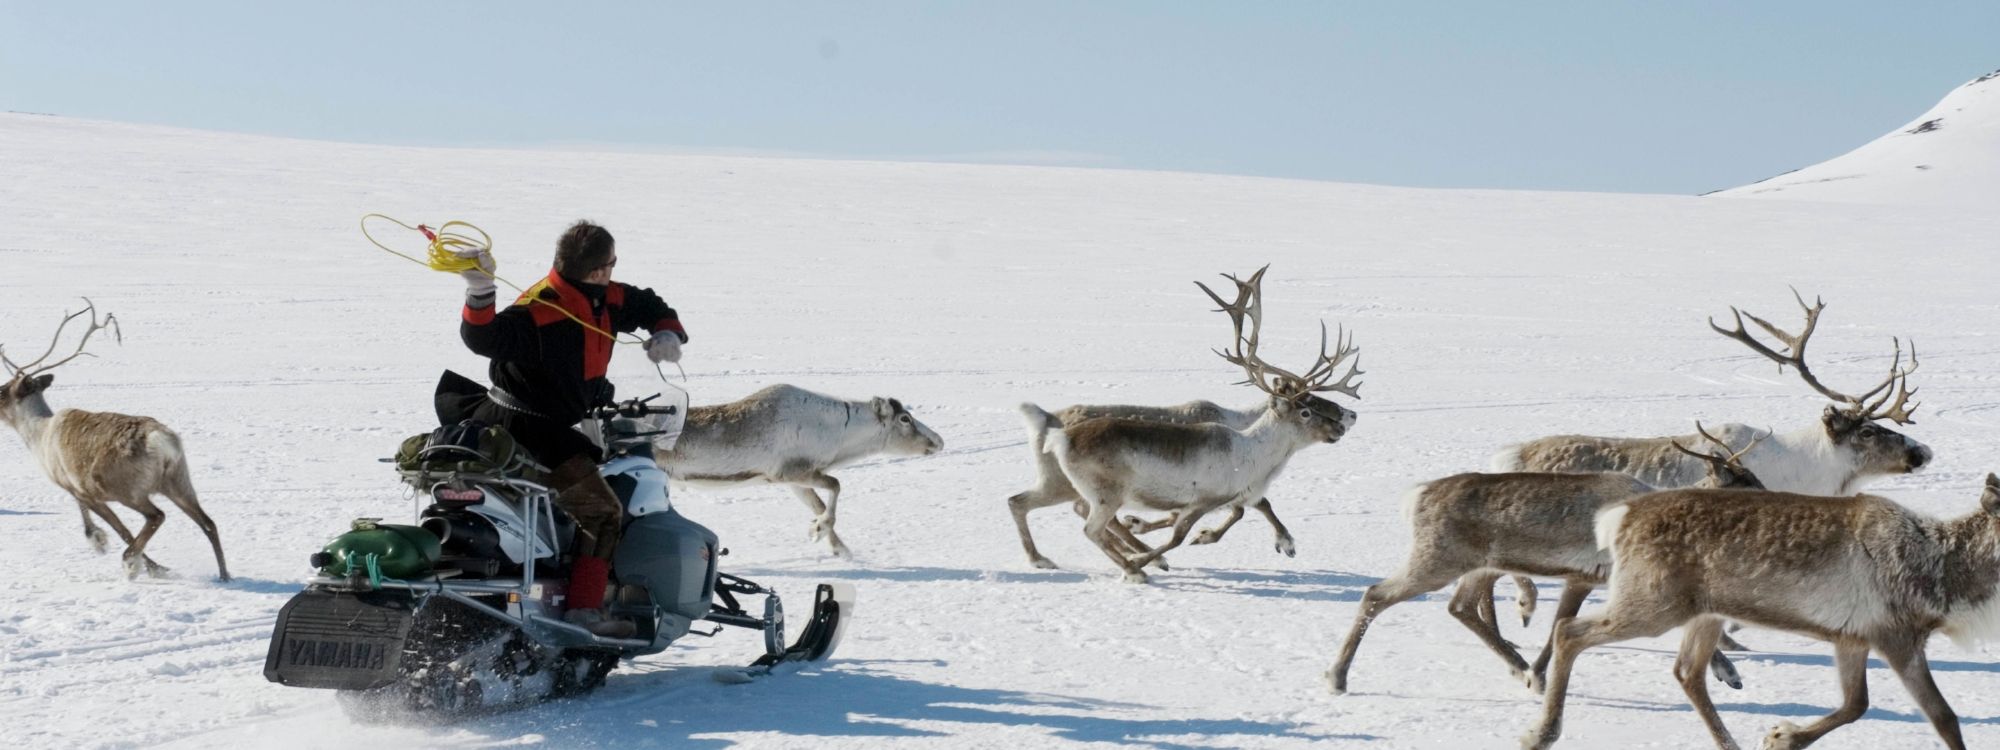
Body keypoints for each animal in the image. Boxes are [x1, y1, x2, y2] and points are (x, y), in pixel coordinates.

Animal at [0, 301, 230, 581]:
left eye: (1, 391)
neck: (37, 434)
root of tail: (162, 440)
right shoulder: (81, 491)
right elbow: (115, 526)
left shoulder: (81, 489)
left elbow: (117, 528)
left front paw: (107, 545)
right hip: (179, 481)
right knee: (208, 523)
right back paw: (225, 575)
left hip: (128, 490)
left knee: (157, 516)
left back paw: (130, 562)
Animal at [656, 384, 944, 558]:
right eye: (905, 419)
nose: (939, 441)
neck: (840, 434)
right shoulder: (793, 472)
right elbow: (836, 485)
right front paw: (818, 531)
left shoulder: (792, 482)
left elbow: (818, 504)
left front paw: (841, 549)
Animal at [1327, 425, 1766, 696]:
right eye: (1743, 481)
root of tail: (1415, 495)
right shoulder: (1592, 577)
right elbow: (1562, 626)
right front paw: (1537, 678)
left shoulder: (1589, 579)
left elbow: (1559, 624)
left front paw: (1729, 672)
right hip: (1436, 559)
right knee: (1375, 594)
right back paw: (1337, 677)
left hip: (1478, 565)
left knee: (1460, 607)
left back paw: (1516, 663)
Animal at [1522, 472, 2000, 750]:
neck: (1945, 569)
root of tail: (1617, 517)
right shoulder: (1896, 636)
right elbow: (1943, 717)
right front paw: (1779, 736)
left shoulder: (1852, 638)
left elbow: (1858, 704)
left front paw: (1781, 736)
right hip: (1652, 604)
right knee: (1569, 631)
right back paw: (1540, 733)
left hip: (1704, 613)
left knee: (1687, 672)